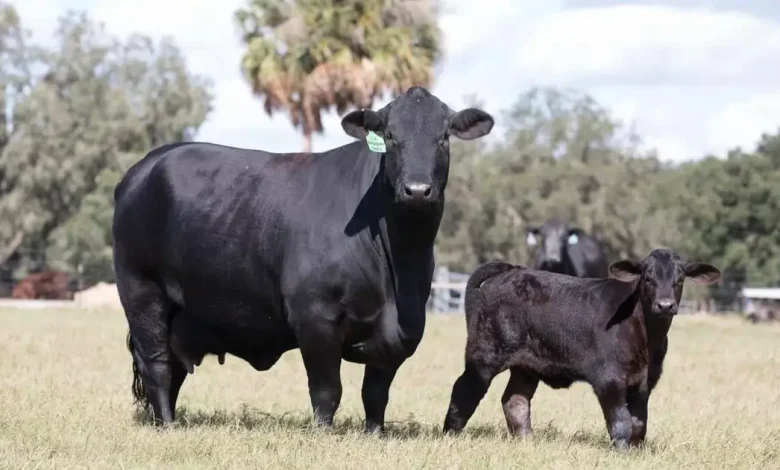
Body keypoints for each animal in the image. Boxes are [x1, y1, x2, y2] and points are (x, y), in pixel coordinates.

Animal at [112, 86, 495, 431]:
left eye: (443, 137)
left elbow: (375, 393)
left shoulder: (400, 331)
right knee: (157, 364)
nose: (416, 190)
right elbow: (327, 390)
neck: (399, 270)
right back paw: (167, 425)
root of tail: (148, 164)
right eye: (390, 136)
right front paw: (322, 433)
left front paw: (375, 433)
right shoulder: (315, 317)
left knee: (173, 367)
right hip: (142, 292)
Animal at [442, 249, 721, 449]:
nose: (665, 305)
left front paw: (636, 452)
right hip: (485, 354)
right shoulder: (609, 377)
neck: (647, 336)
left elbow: (639, 423)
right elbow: (621, 421)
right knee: (465, 389)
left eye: (680, 279)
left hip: (526, 365)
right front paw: (622, 452)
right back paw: (449, 435)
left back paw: (527, 442)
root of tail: (511, 270)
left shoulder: (645, 381)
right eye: (648, 278)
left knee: (515, 400)